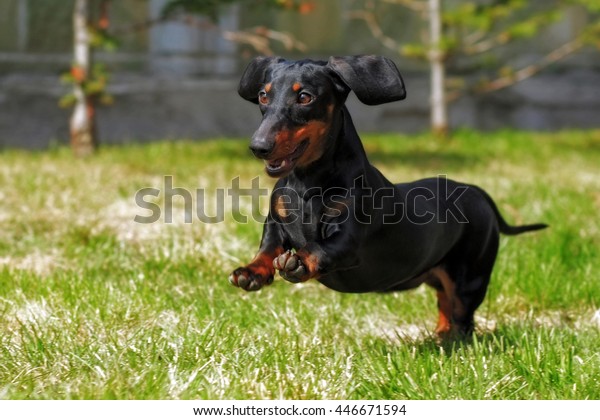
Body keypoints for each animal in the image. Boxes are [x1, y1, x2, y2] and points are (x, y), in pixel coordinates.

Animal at [227, 55, 548, 336]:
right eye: (263, 96)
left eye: (304, 97)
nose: (258, 147)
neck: (307, 185)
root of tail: (476, 192)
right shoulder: (275, 222)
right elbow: (268, 248)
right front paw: (251, 272)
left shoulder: (349, 240)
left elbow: (322, 248)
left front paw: (300, 262)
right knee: (445, 306)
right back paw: (440, 337)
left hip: (470, 277)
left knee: (463, 316)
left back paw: (452, 343)